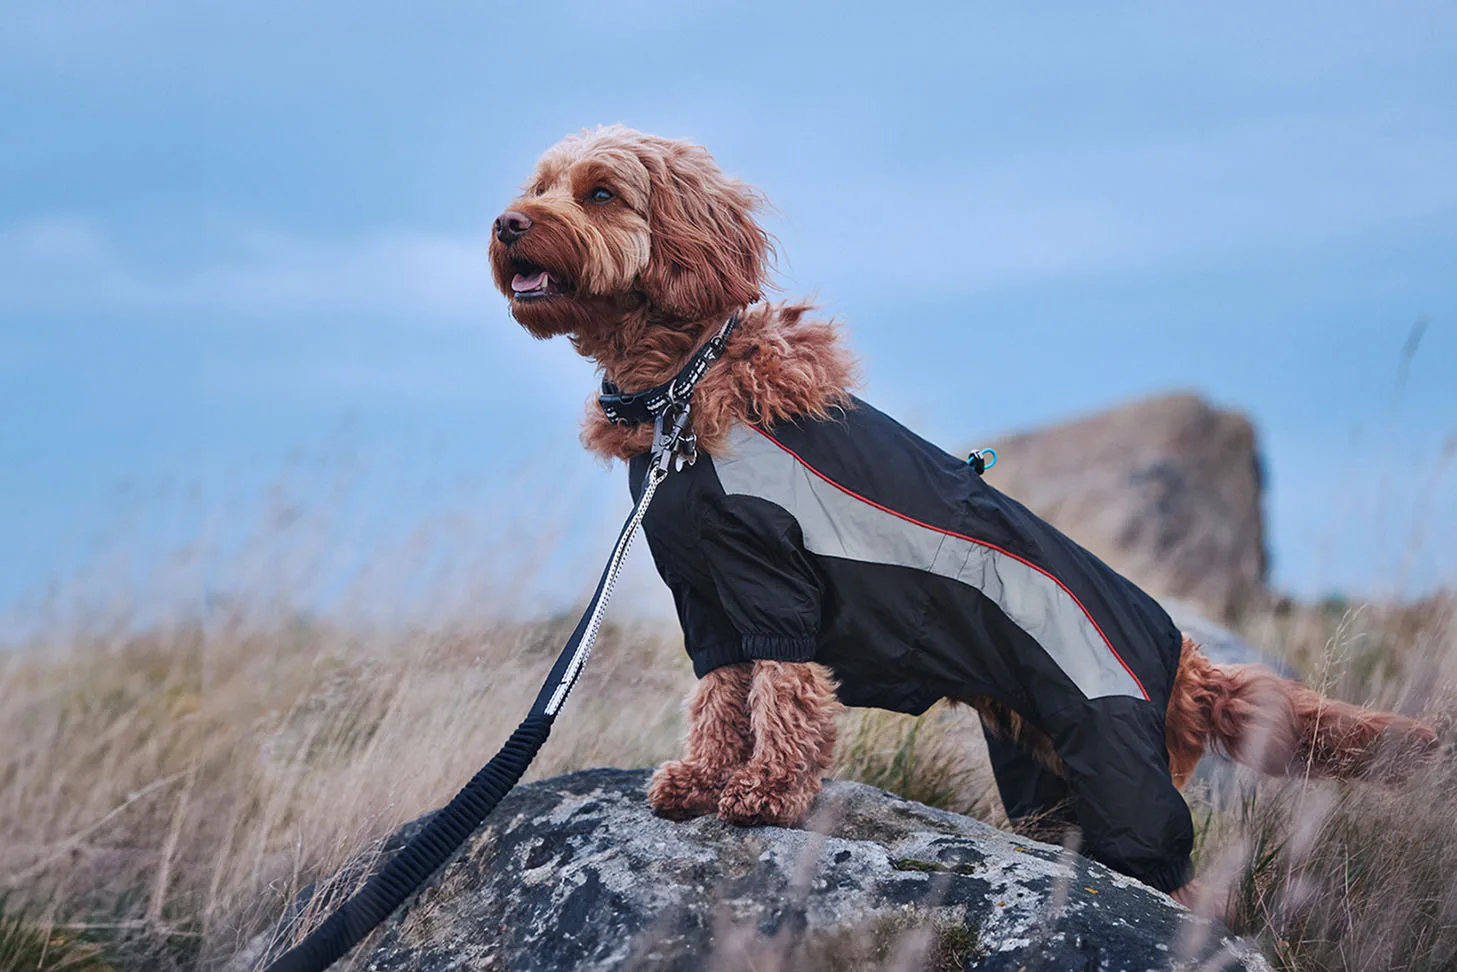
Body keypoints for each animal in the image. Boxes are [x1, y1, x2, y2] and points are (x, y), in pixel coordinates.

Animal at [486, 127, 1433, 903]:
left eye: (599, 193)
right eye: (540, 184)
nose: (506, 223)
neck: (683, 389)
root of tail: (1187, 661)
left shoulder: (772, 579)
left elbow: (783, 692)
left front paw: (768, 792)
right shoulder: (703, 592)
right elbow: (720, 694)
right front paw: (699, 777)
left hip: (1119, 767)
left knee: (1177, 876)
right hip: (1042, 770)